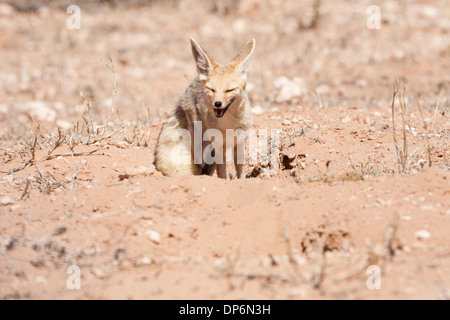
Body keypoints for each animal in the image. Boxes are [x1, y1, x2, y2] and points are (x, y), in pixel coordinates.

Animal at [155, 38, 255, 179]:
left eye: (229, 90)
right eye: (211, 90)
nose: (217, 104)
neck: (228, 123)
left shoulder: (240, 142)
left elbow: (240, 170)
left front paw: (241, 180)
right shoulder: (219, 145)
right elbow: (222, 172)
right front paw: (223, 181)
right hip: (200, 136)